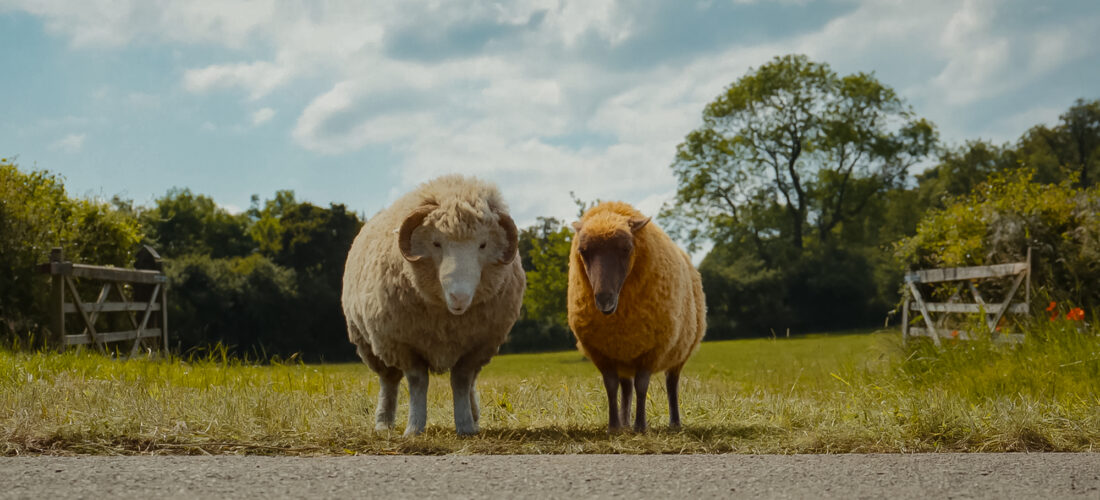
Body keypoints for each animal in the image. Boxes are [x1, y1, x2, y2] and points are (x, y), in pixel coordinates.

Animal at [342, 174, 525, 436]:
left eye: (483, 245)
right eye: (436, 243)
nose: (459, 297)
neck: (447, 318)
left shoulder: (477, 346)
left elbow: (461, 381)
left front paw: (465, 425)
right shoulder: (404, 345)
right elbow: (418, 382)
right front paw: (414, 427)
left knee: (470, 383)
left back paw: (474, 416)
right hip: (371, 344)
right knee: (389, 382)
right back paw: (383, 423)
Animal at [567, 201, 705, 432]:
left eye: (626, 249)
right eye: (583, 251)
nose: (604, 299)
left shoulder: (651, 350)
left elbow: (642, 386)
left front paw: (641, 426)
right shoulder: (602, 352)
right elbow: (611, 387)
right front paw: (614, 426)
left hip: (679, 352)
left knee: (671, 384)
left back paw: (674, 422)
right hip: (624, 354)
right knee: (626, 388)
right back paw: (624, 423)